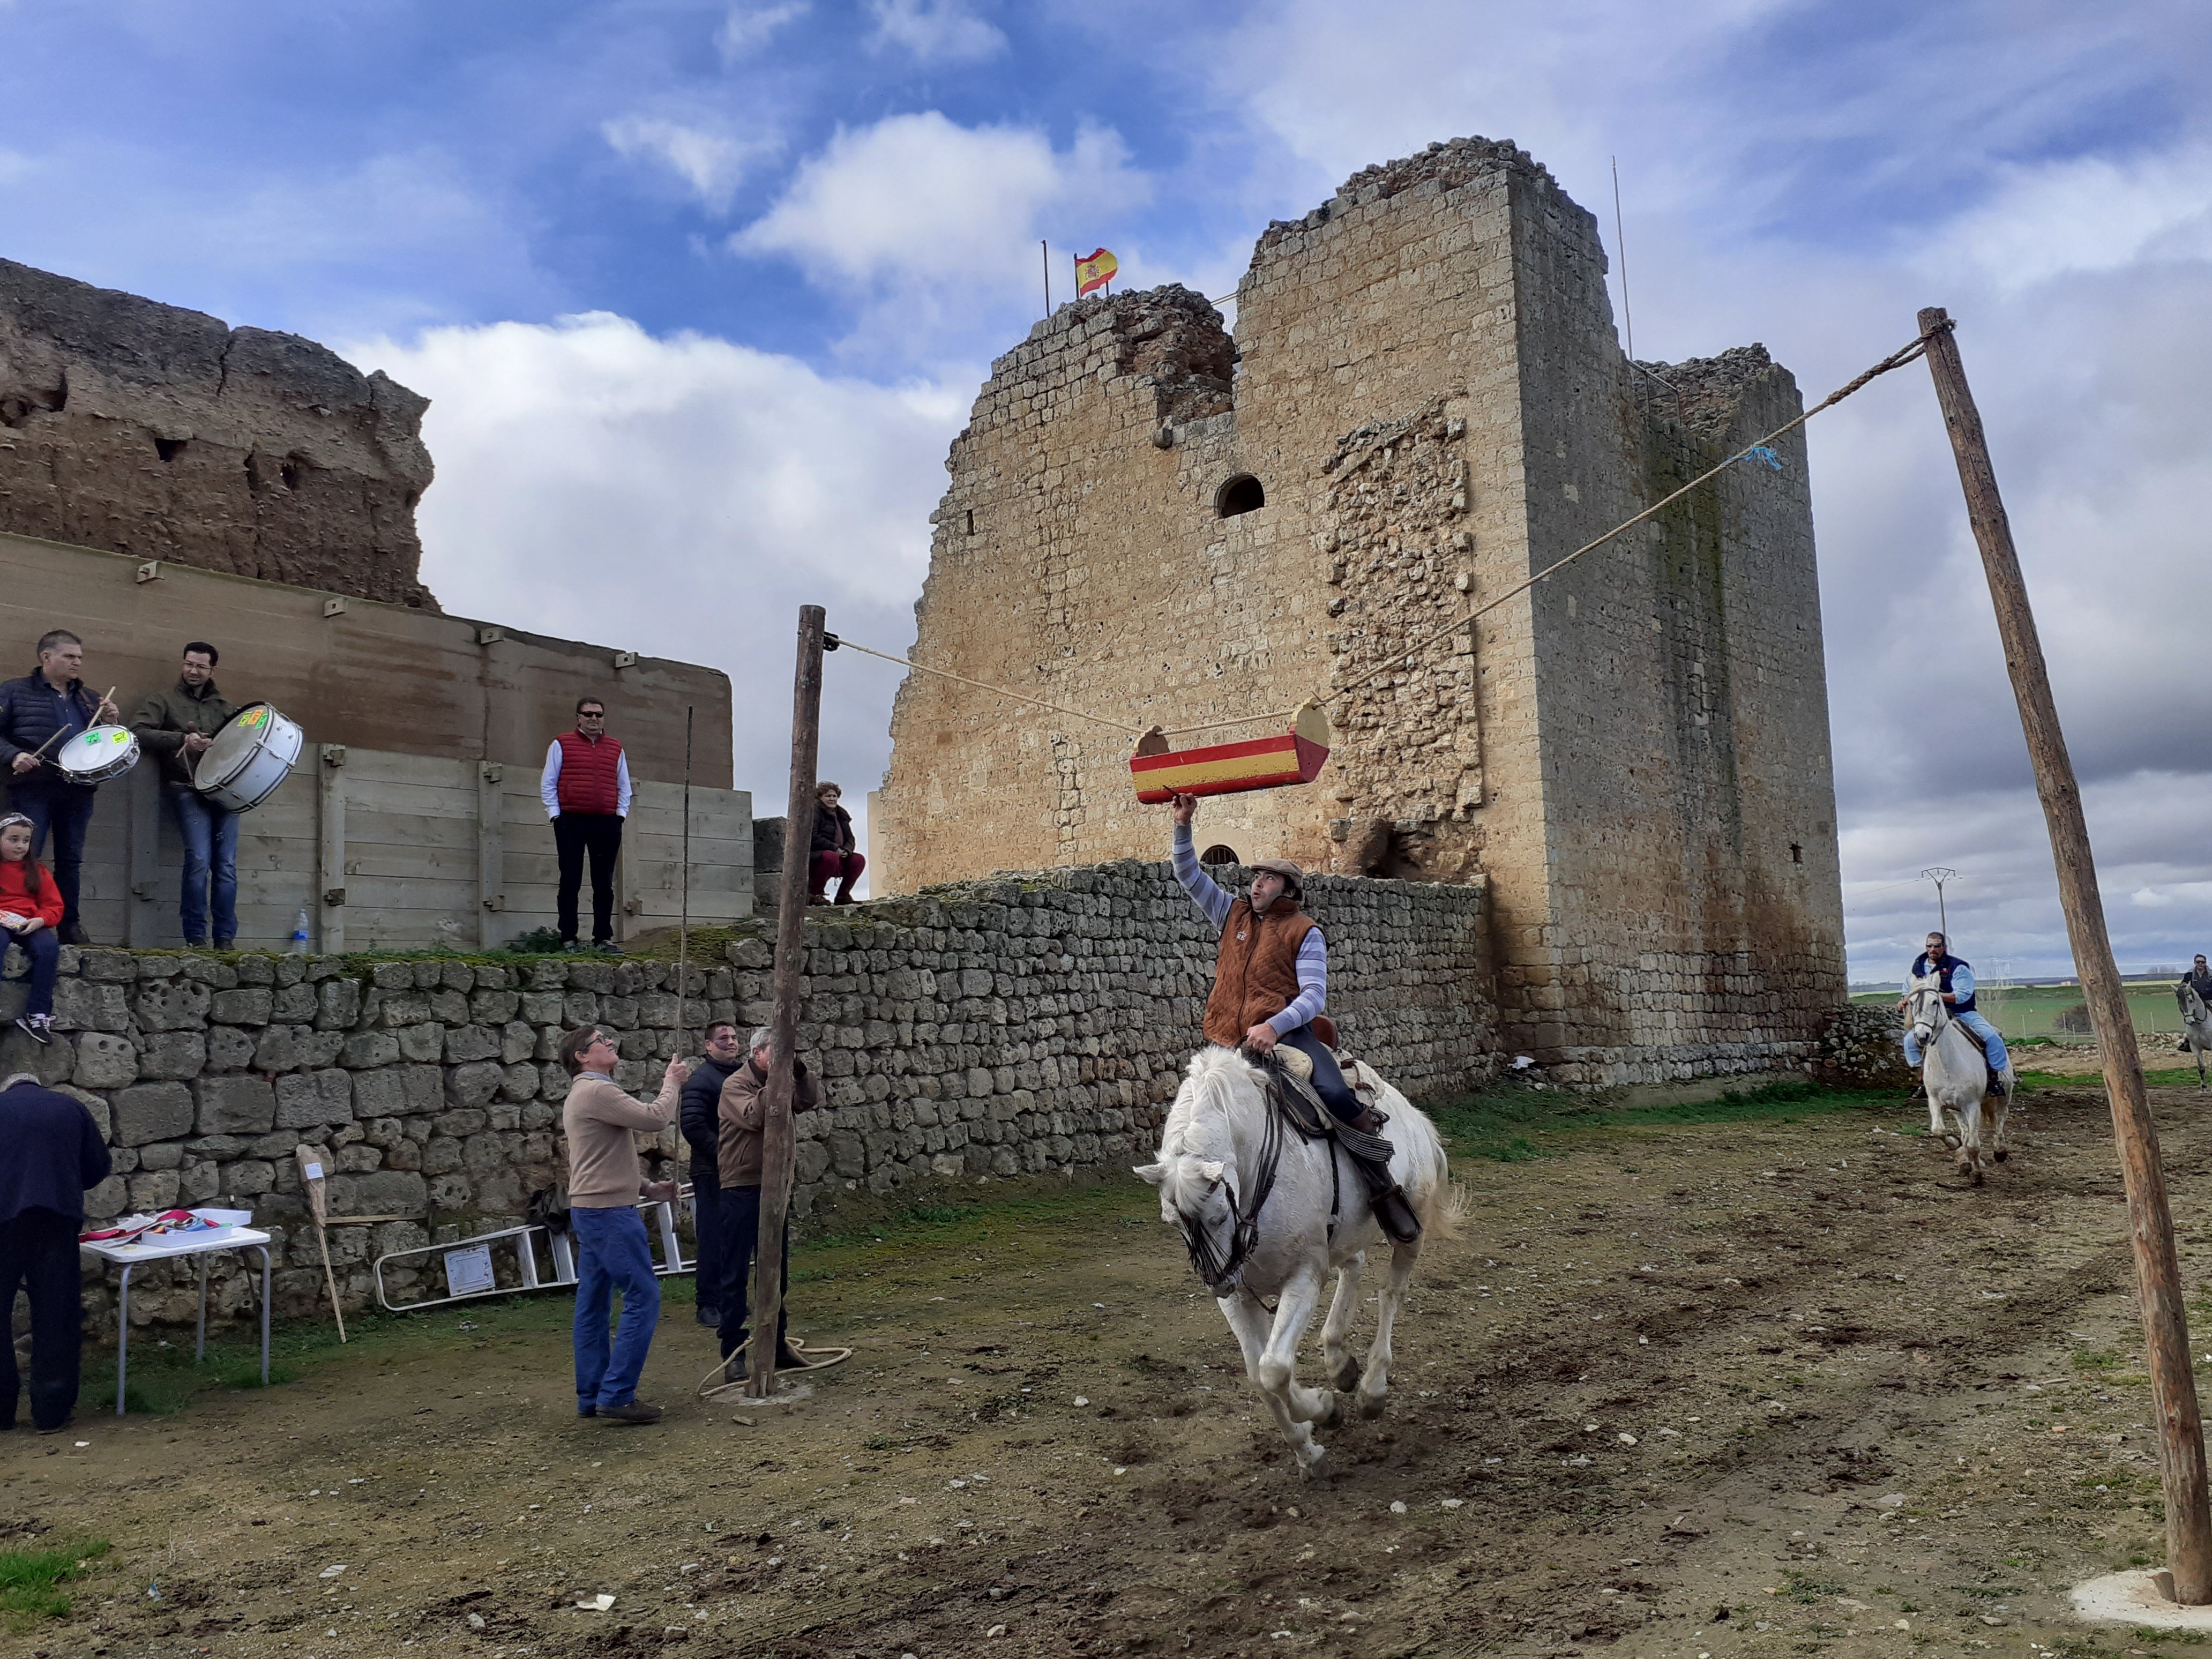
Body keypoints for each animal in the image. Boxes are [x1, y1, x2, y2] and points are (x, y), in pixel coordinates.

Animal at [1134, 1045, 1456, 1480]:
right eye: (1172, 1221)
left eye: (1218, 1215)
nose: (1219, 1282)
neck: (1256, 1172)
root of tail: (1414, 1116)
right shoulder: (1239, 1299)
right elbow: (1258, 1378)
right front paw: (1308, 1450)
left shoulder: (1302, 1279)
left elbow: (1274, 1370)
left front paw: (1325, 1411)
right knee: (1353, 1265)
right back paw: (1339, 1361)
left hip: (1412, 1229)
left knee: (1391, 1293)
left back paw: (1372, 1389)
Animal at [1904, 974, 2013, 1183]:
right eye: (1911, 1002)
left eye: (1935, 1002)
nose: (1922, 1036)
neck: (1947, 1064)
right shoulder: (1936, 1101)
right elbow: (1939, 1131)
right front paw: (1957, 1147)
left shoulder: (1973, 1105)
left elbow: (1974, 1144)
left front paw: (1978, 1174)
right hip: (1956, 1108)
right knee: (1966, 1130)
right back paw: (1964, 1161)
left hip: (2004, 1095)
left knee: (2001, 1117)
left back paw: (2000, 1150)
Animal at [2177, 982, 2212, 1089]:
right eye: (2179, 1003)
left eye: (2191, 1001)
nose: (2190, 1021)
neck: (2200, 1025)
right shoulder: (2196, 1047)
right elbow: (2201, 1068)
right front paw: (2203, 1087)